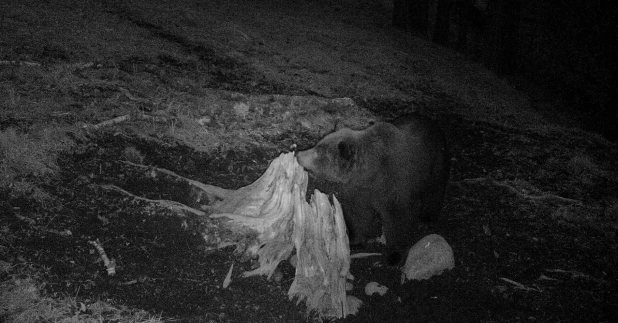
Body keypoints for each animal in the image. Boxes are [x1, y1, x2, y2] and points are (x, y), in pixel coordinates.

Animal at [294, 115, 448, 264]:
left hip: (433, 163)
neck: (369, 174)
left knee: (434, 190)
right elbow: (358, 214)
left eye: (318, 152)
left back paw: (427, 218)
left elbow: (397, 219)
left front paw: (395, 255)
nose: (298, 154)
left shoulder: (392, 185)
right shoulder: (360, 191)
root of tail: (432, 122)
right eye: (317, 144)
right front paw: (355, 239)